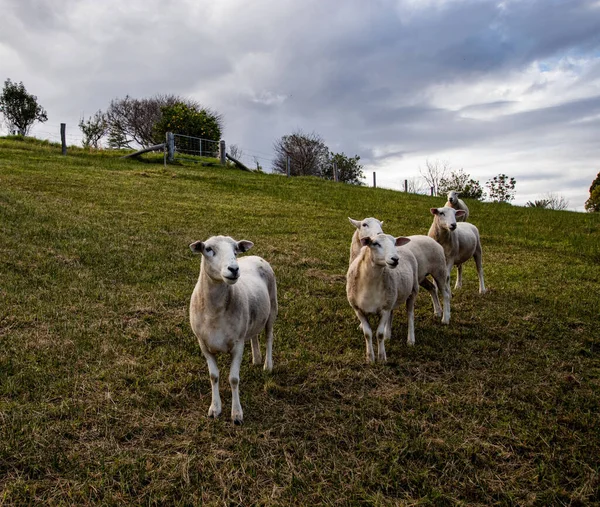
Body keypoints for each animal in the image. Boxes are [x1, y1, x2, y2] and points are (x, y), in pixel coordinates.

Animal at [189, 236, 278, 426]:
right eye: (208, 249)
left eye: (235, 250)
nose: (234, 269)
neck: (214, 312)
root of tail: (256, 256)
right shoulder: (203, 344)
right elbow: (214, 376)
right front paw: (215, 408)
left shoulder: (237, 344)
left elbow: (234, 379)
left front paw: (236, 413)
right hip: (253, 316)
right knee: (254, 336)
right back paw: (256, 359)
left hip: (272, 309)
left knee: (269, 337)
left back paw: (267, 365)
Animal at [344, 232, 420, 364]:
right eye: (375, 243)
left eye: (394, 243)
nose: (395, 259)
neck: (369, 284)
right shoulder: (358, 309)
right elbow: (367, 333)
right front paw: (370, 358)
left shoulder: (384, 309)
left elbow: (379, 334)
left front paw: (382, 357)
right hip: (392, 296)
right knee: (392, 314)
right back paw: (388, 335)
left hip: (413, 290)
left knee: (410, 314)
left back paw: (410, 340)